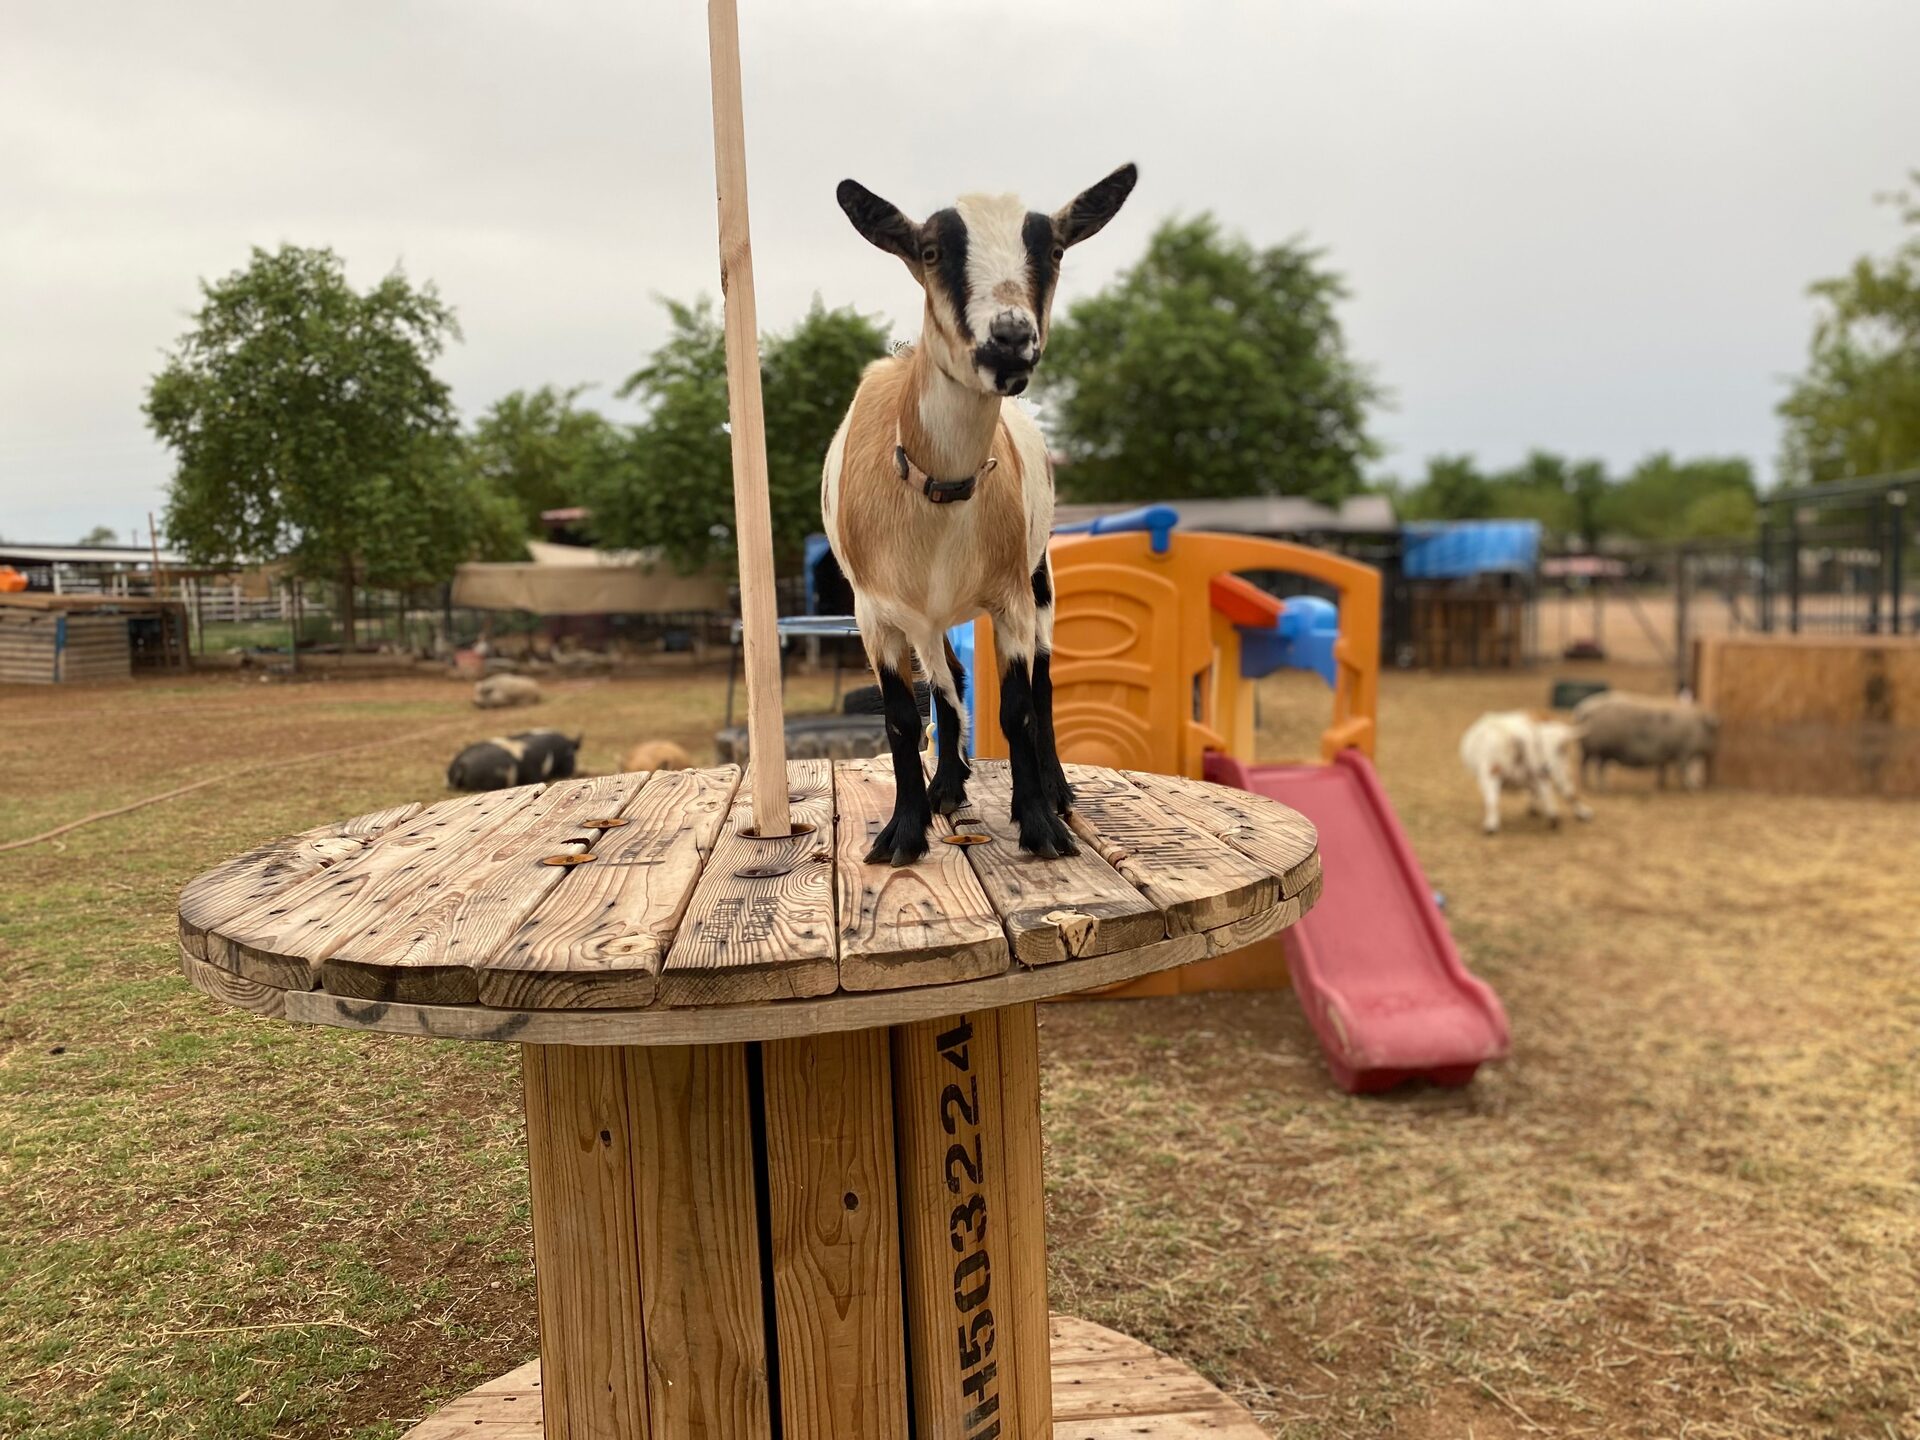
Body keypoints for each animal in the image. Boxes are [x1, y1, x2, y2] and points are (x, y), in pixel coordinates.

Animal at [823, 165, 1138, 865]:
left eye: (1054, 250)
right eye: (930, 252)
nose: (1011, 341)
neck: (937, 490)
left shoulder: (1010, 597)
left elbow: (1017, 707)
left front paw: (1041, 825)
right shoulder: (876, 614)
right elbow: (902, 716)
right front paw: (903, 832)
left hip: (1040, 575)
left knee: (1042, 682)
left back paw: (1055, 790)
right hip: (930, 617)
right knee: (951, 681)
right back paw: (946, 787)